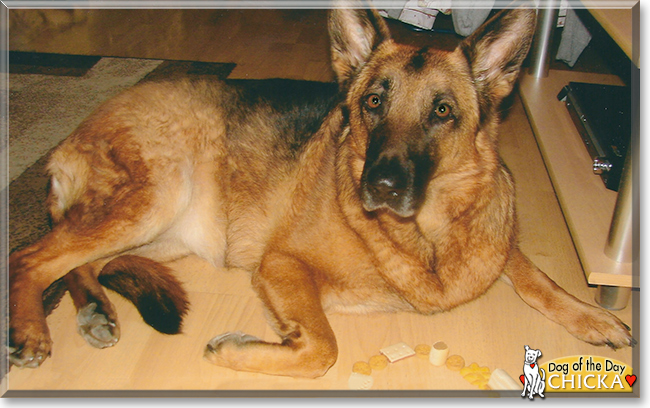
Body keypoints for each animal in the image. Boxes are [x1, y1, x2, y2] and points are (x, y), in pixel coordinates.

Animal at [7, 3, 632, 378]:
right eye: (373, 102)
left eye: (442, 112)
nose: (380, 184)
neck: (426, 235)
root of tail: (73, 134)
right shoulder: (281, 264)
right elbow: (323, 349)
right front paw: (240, 349)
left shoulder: (494, 246)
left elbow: (532, 273)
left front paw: (589, 315)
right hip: (153, 200)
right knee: (31, 257)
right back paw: (33, 329)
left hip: (164, 231)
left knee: (78, 262)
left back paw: (94, 311)